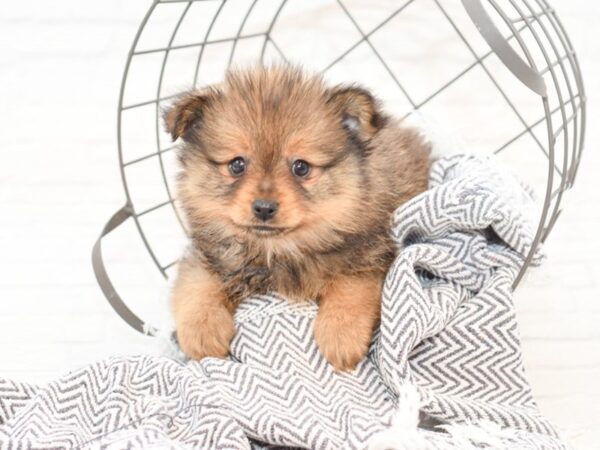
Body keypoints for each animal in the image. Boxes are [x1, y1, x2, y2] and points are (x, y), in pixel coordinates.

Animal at [164, 65, 432, 370]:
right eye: (237, 164)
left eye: (301, 167)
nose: (264, 208)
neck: (276, 252)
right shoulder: (207, 254)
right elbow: (195, 286)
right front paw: (203, 333)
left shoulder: (371, 255)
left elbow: (352, 288)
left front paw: (340, 334)